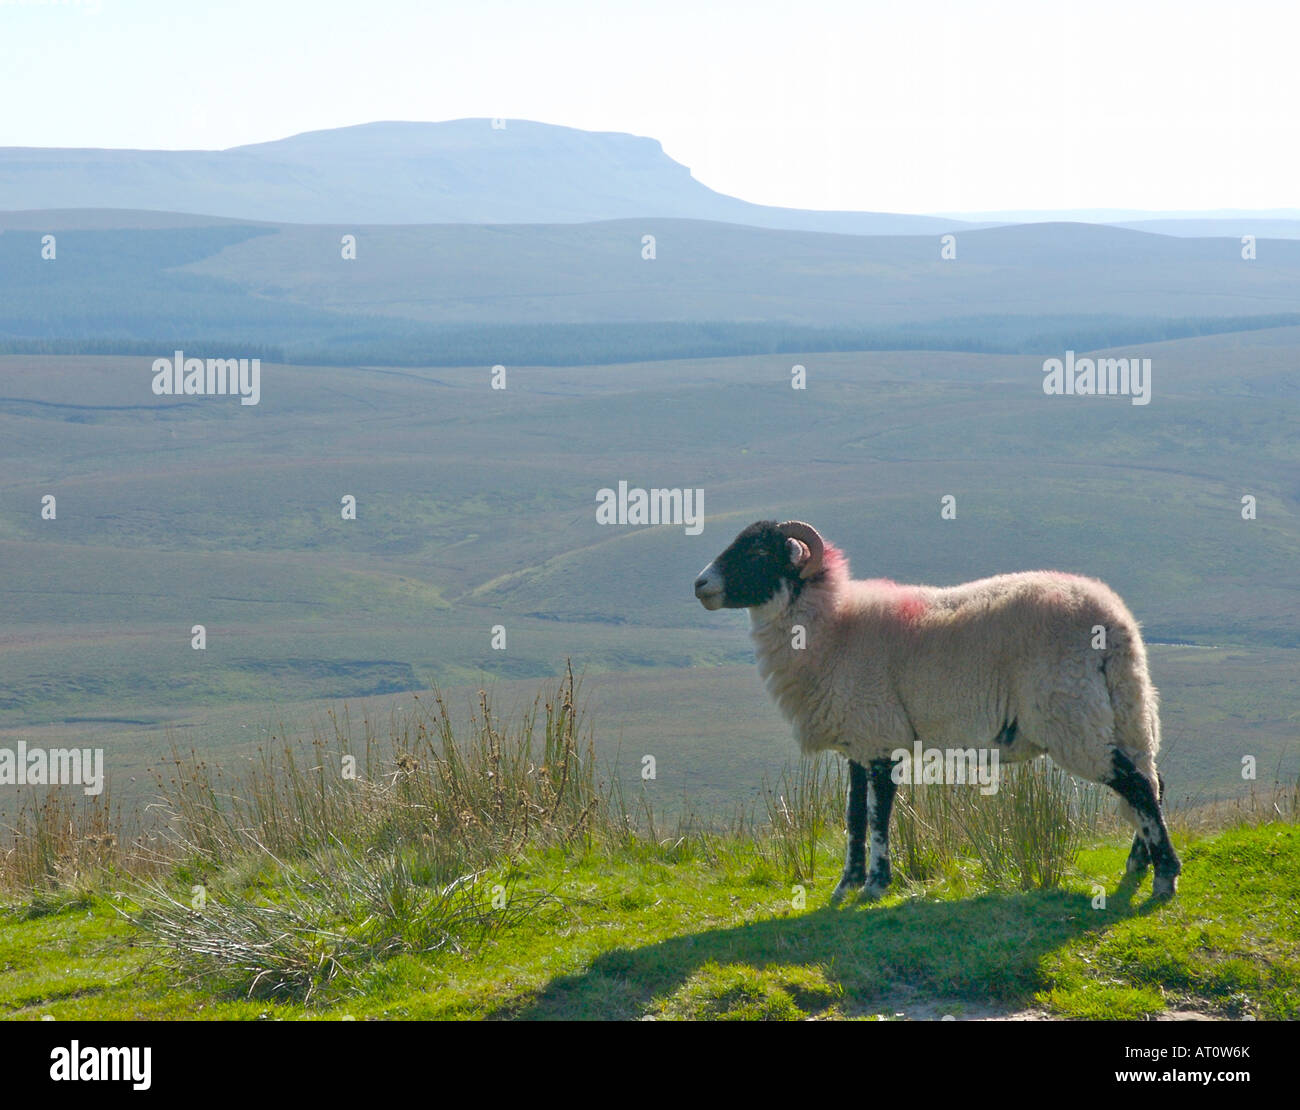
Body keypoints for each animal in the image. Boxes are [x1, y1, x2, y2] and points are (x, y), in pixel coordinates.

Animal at [696, 522, 1185, 904]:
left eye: (758, 552)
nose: (699, 585)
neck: (833, 626)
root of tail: (1116, 623)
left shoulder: (882, 736)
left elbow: (877, 815)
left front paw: (875, 884)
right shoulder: (858, 741)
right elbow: (853, 817)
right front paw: (846, 884)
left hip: (1072, 716)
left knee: (1138, 785)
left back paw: (1164, 876)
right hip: (1126, 707)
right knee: (1151, 782)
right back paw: (1138, 864)